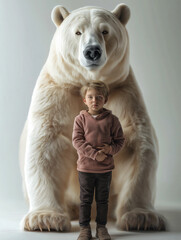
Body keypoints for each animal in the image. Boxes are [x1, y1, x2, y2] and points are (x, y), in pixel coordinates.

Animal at [19, 3, 165, 232]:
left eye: (105, 31)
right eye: (77, 32)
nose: (92, 51)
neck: (86, 81)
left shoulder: (123, 93)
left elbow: (136, 146)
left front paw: (142, 218)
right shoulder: (57, 92)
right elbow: (47, 147)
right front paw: (45, 219)